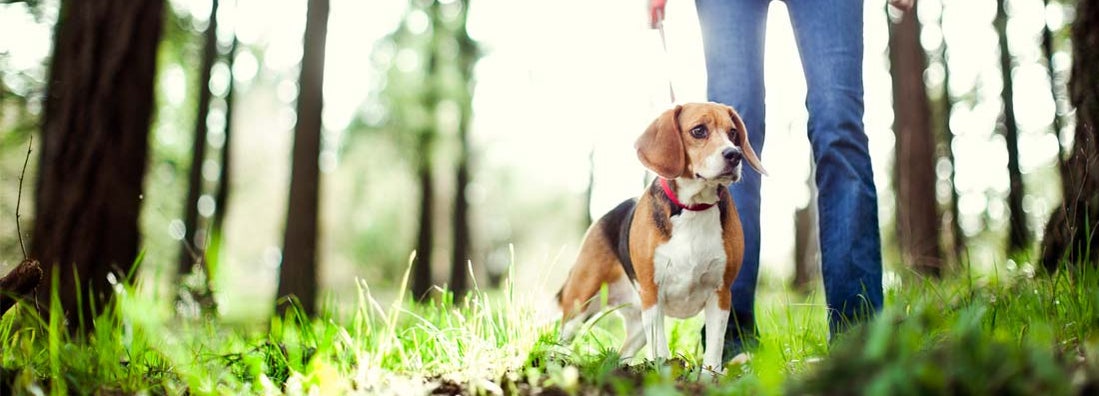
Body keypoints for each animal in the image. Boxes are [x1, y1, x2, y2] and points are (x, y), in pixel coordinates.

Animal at [558, 101, 764, 371]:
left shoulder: (720, 293)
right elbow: (662, 352)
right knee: (559, 339)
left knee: (622, 354)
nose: (734, 154)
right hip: (581, 302)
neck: (692, 208)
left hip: (638, 324)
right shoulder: (653, 294)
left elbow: (714, 351)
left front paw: (710, 376)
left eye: (733, 133)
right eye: (699, 130)